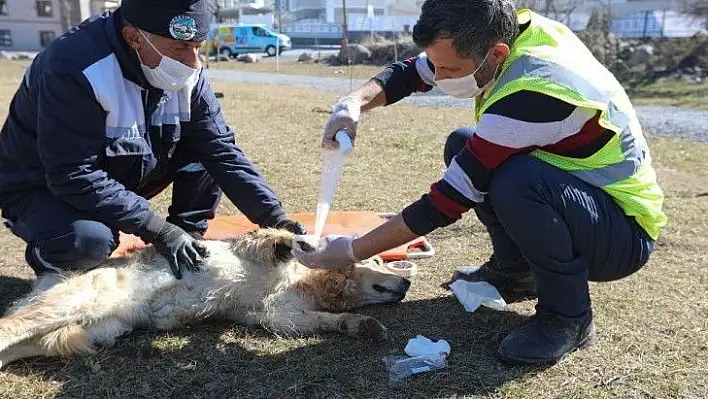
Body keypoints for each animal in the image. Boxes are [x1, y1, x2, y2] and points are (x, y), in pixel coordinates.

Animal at [0, 228, 410, 368]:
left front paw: (362, 325)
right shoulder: (252, 250)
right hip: (74, 304)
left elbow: (328, 322)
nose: (406, 282)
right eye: (377, 259)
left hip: (95, 329)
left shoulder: (282, 316)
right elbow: (273, 237)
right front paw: (294, 239)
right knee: (9, 326)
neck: (309, 281)